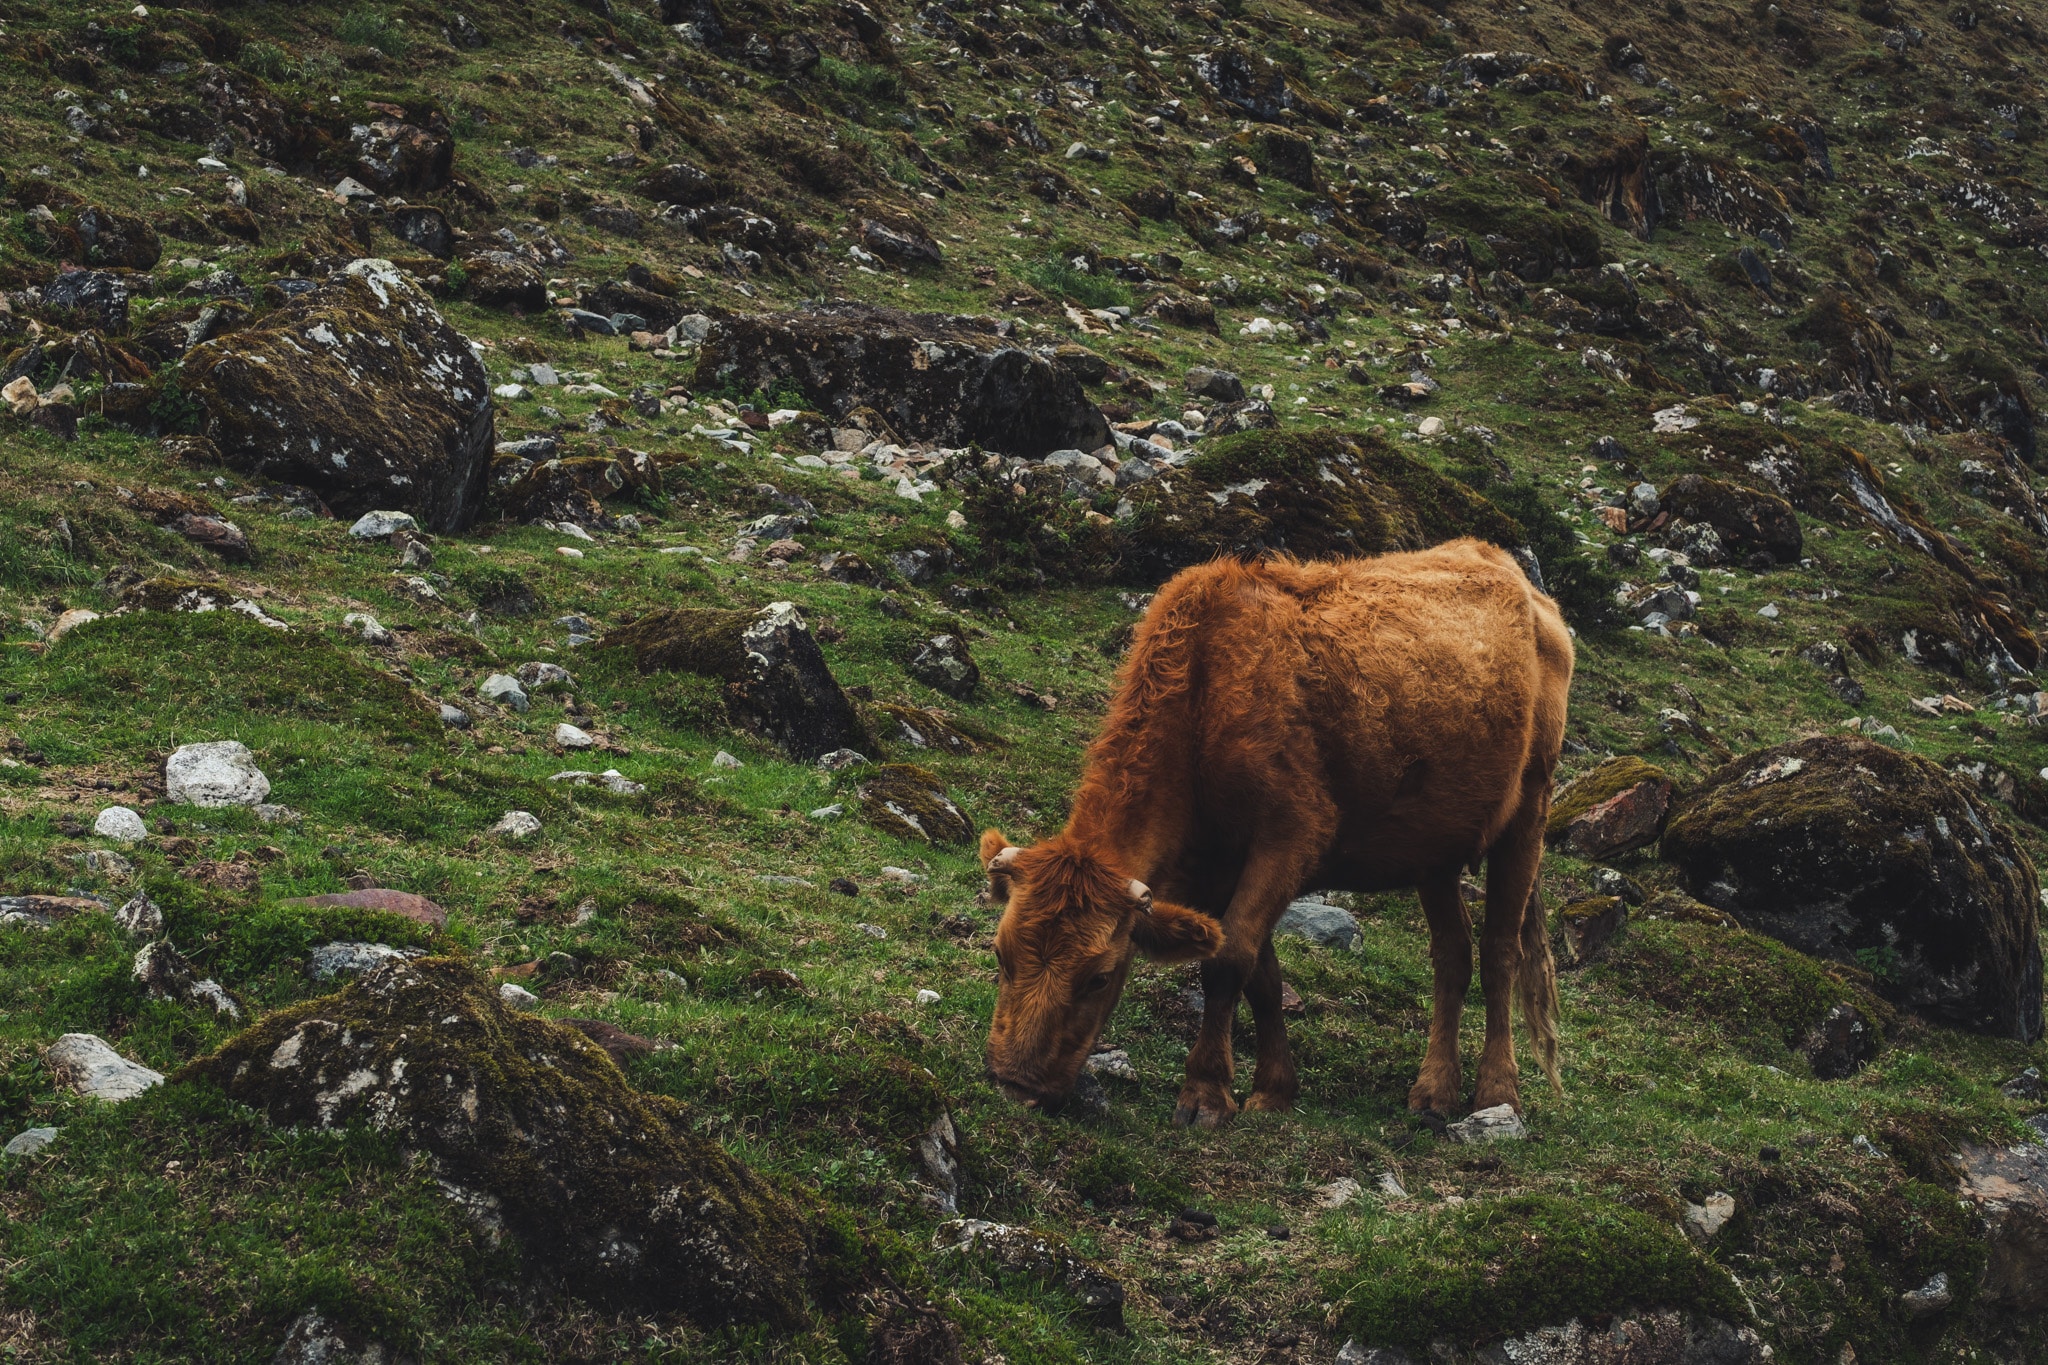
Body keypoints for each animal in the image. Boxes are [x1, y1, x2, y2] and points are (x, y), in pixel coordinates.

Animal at [981, 540, 1574, 1127]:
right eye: (1001, 955)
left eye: (1099, 977)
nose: (1015, 1086)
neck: (1204, 698)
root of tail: (1507, 567)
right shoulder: (1213, 869)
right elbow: (1260, 973)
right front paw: (1273, 1090)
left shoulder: (1291, 837)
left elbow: (1228, 963)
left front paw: (1205, 1092)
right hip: (1436, 846)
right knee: (1453, 953)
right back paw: (1433, 1091)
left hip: (1530, 809)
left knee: (1500, 953)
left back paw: (1497, 1092)